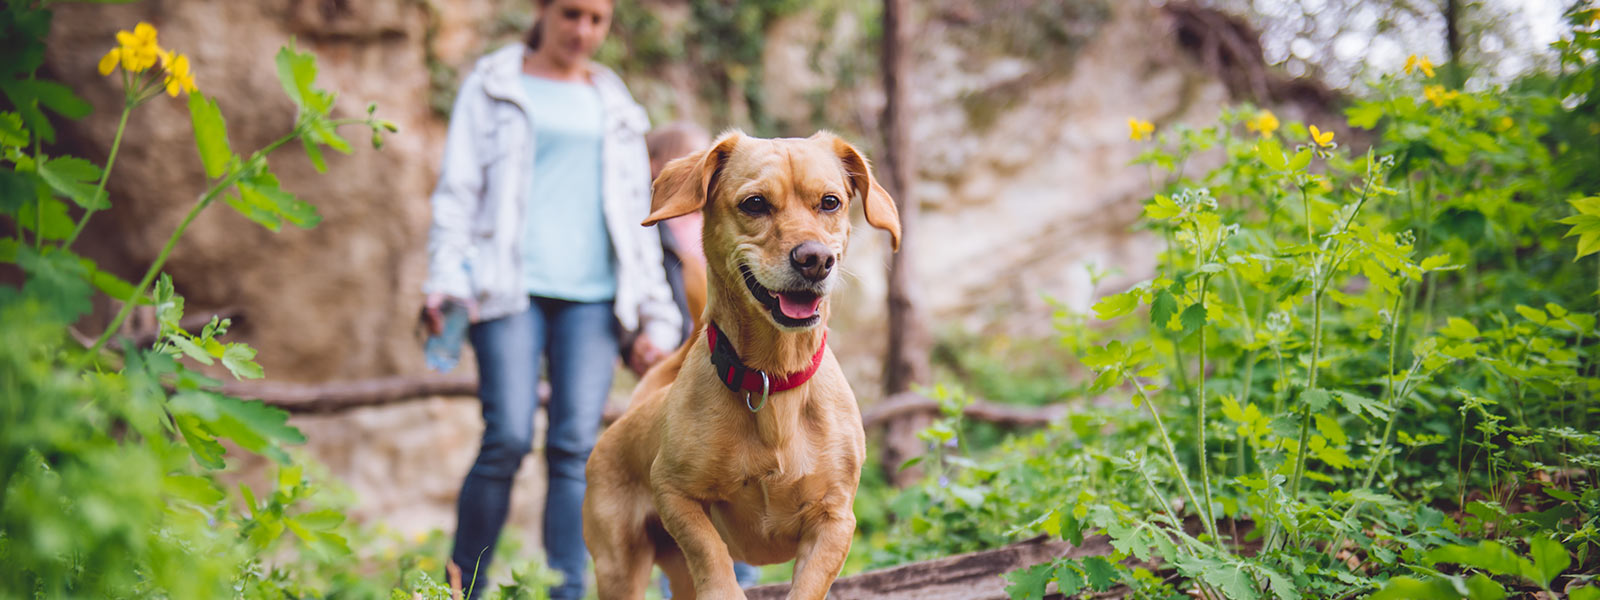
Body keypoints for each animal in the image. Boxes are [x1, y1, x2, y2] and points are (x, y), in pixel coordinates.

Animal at [588, 132, 908, 600]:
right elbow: (711, 553)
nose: (815, 259)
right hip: (619, 567)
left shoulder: (834, 520)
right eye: (755, 203)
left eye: (830, 202)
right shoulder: (674, 493)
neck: (774, 379)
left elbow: (807, 586)